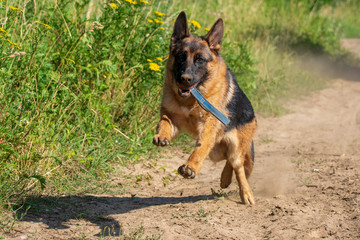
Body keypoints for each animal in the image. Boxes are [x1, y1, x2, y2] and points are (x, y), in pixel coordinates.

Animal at [152, 11, 256, 204]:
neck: (190, 101)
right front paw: (161, 136)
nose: (184, 79)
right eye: (181, 56)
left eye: (200, 59)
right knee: (229, 162)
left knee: (237, 166)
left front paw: (191, 167)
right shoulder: (173, 118)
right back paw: (225, 179)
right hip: (219, 151)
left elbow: (201, 146)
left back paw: (245, 193)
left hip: (236, 148)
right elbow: (164, 122)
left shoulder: (208, 126)